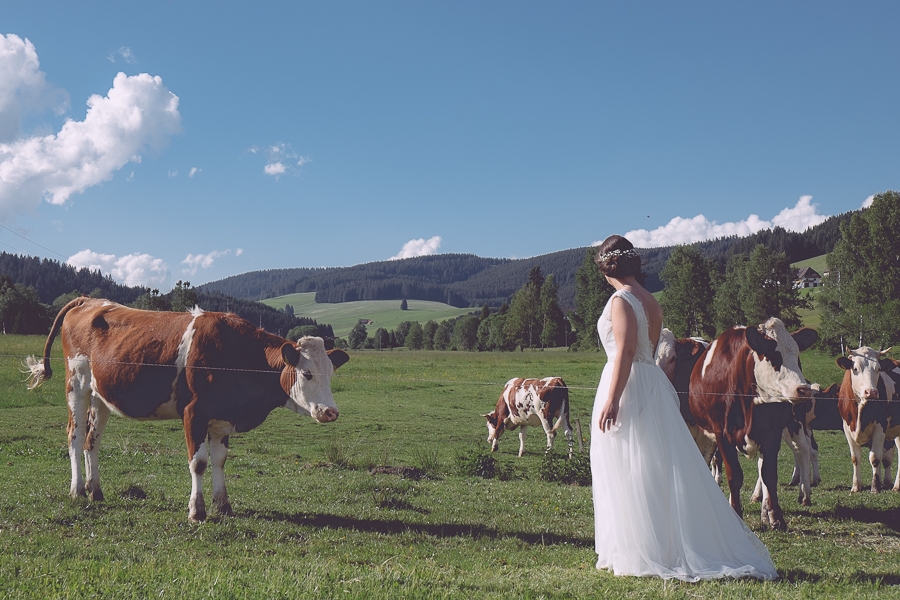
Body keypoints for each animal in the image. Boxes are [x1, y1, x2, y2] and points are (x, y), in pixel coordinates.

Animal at [24, 298, 348, 520]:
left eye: (331, 373)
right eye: (306, 373)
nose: (331, 412)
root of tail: (89, 300)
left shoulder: (221, 416)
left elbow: (219, 461)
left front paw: (224, 505)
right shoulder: (194, 412)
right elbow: (199, 463)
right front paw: (197, 511)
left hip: (101, 395)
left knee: (93, 441)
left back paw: (96, 491)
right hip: (77, 384)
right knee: (75, 436)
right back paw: (78, 490)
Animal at [684, 318, 820, 528]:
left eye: (797, 356)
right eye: (774, 355)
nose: (803, 390)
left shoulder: (772, 433)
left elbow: (769, 474)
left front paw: (777, 518)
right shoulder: (721, 433)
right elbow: (735, 475)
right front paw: (736, 513)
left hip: (793, 423)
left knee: (800, 450)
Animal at [832, 346, 896, 492]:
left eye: (878, 368)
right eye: (855, 368)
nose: (871, 392)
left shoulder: (880, 426)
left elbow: (875, 458)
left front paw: (875, 487)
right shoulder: (847, 428)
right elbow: (855, 458)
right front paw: (856, 486)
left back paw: (896, 486)